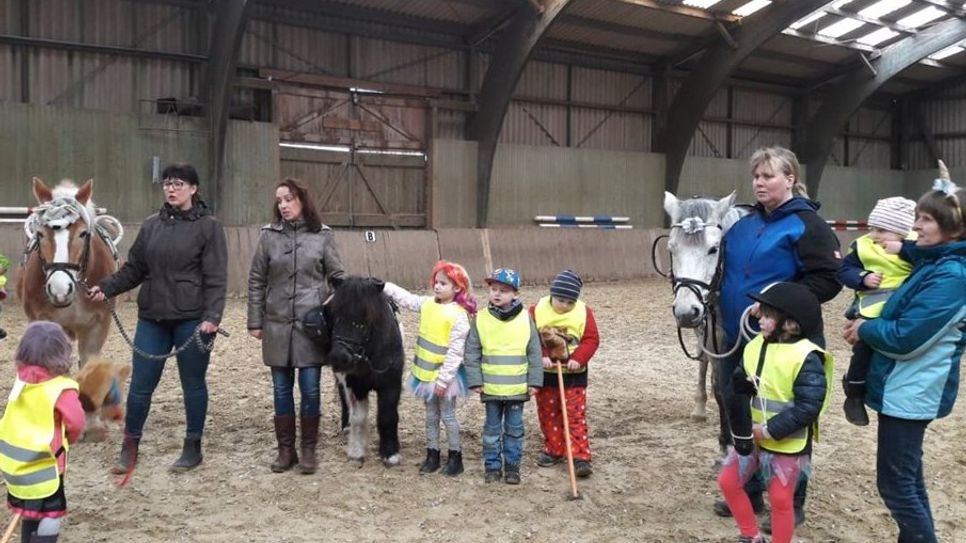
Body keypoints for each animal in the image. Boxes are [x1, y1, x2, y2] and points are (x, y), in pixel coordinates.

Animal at [322, 276, 404, 468]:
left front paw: (390, 453)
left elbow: (388, 416)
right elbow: (358, 417)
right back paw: (346, 427)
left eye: (364, 321)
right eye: (335, 317)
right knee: (344, 399)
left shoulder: (391, 384)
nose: (338, 357)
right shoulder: (355, 385)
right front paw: (356, 453)